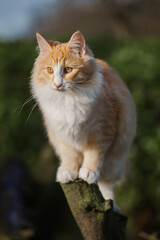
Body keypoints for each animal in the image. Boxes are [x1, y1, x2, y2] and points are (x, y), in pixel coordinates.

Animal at [31, 31, 136, 201]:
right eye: (50, 70)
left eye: (68, 70)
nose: (57, 84)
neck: (68, 99)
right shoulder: (62, 135)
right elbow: (69, 155)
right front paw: (68, 171)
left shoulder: (102, 130)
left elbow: (94, 154)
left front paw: (88, 171)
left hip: (115, 161)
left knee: (106, 185)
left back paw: (108, 199)